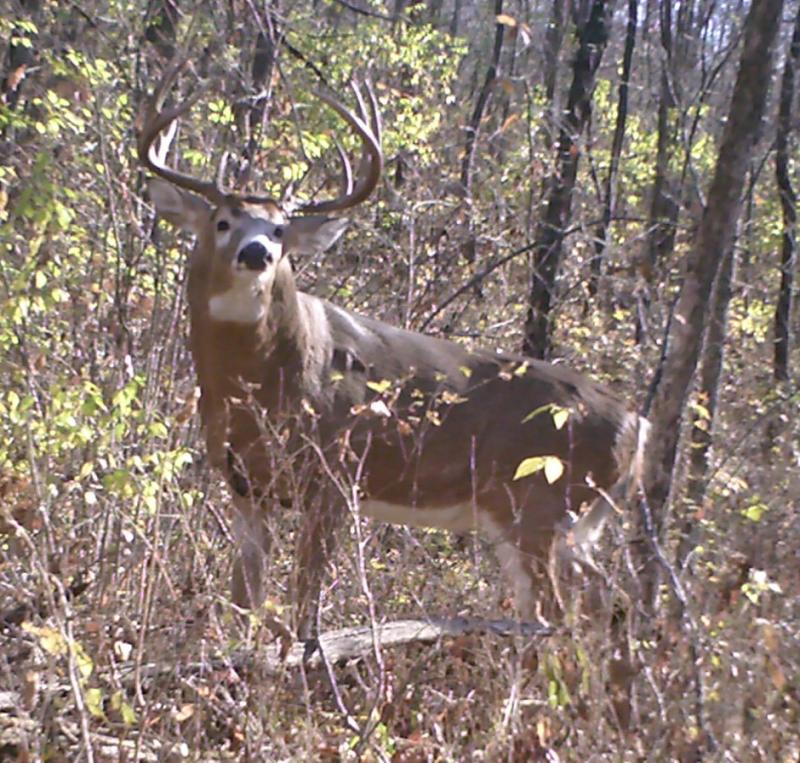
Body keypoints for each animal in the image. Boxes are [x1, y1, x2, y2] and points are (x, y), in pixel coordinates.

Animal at [139, 64, 648, 640]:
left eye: (280, 228)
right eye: (222, 221)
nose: (257, 252)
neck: (268, 384)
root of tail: (636, 423)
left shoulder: (336, 478)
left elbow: (305, 605)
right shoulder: (246, 488)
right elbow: (245, 601)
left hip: (539, 501)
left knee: (555, 615)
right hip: (567, 521)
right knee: (595, 599)